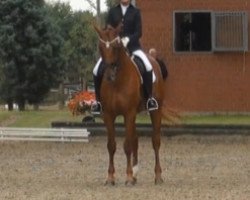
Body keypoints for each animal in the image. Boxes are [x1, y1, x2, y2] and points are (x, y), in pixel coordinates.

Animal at [94, 25, 166, 186]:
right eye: (100, 47)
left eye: (116, 47)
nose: (109, 76)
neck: (117, 81)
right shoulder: (108, 115)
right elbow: (111, 145)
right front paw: (110, 177)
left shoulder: (128, 113)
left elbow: (127, 146)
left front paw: (127, 177)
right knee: (135, 139)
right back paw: (135, 175)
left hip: (156, 110)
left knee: (155, 141)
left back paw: (158, 176)